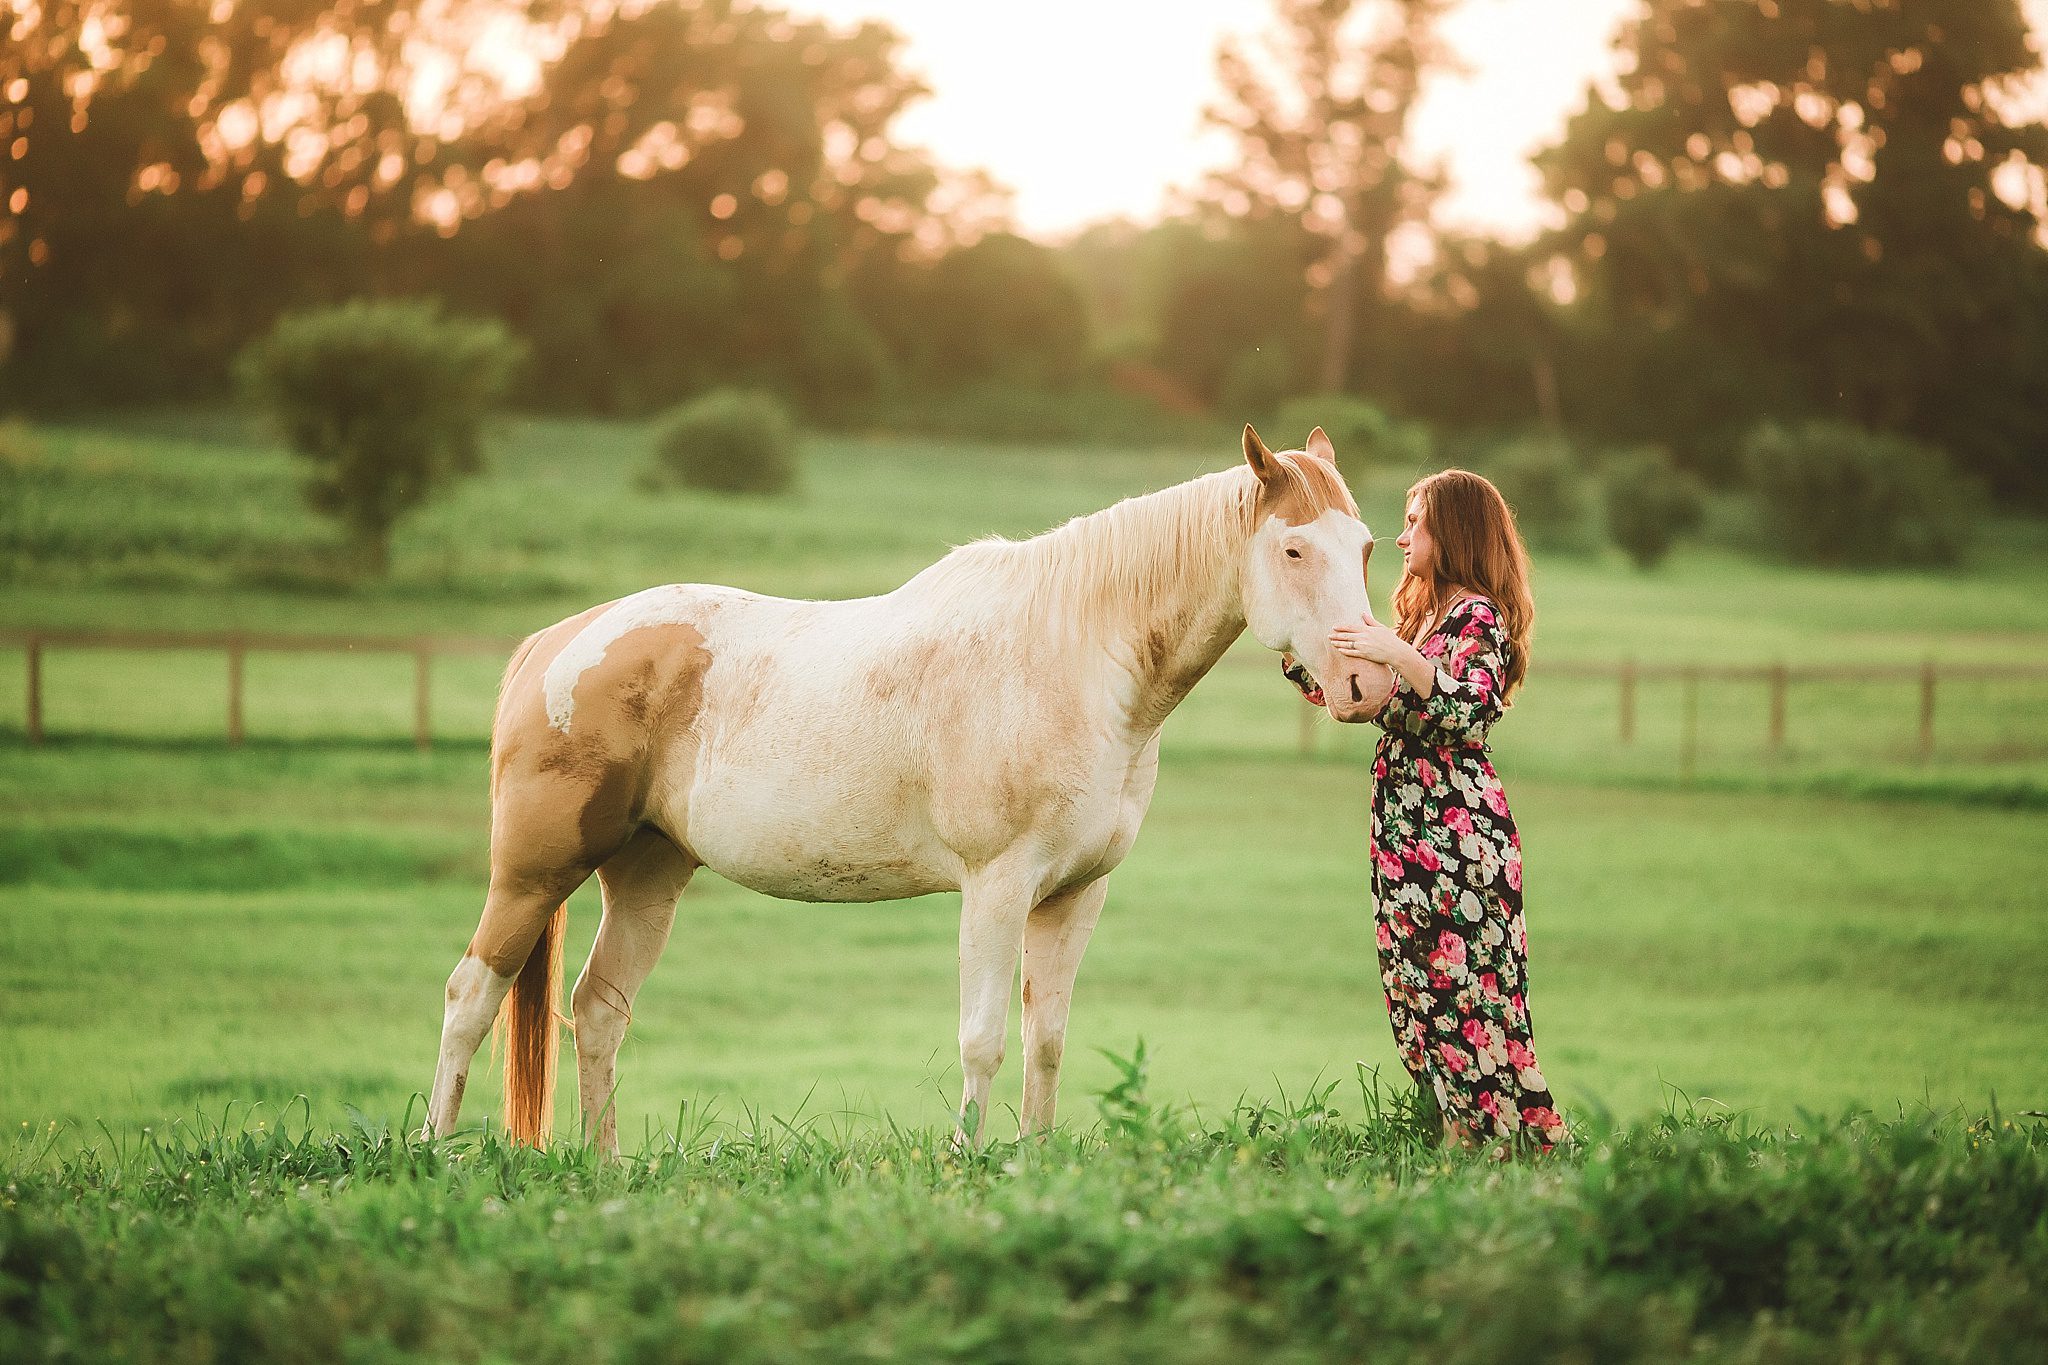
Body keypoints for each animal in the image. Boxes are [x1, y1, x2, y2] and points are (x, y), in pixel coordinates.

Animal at [423, 427, 1400, 1154]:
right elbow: (984, 1038)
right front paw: (968, 1164)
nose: (1368, 684)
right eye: (1293, 546)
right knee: (470, 993)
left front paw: (1033, 1162)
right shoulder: (998, 885)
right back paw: (436, 1151)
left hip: (648, 873)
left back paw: (606, 1163)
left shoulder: (1076, 894)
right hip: (534, 871)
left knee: (598, 1009)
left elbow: (1046, 1042)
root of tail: (560, 639)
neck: (1076, 656)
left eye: (1363, 546)